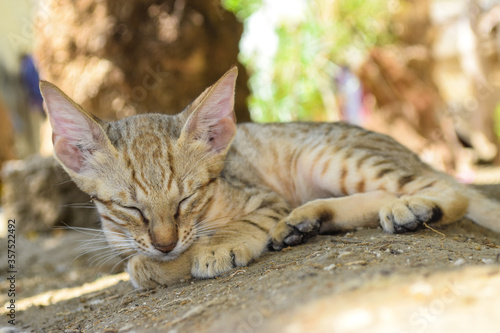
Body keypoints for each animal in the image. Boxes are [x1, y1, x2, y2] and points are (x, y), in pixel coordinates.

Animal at [39, 67, 500, 288]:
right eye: (129, 207)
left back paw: (415, 206)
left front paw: (214, 247)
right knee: (381, 195)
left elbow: (162, 257)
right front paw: (164, 259)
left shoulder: (263, 198)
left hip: (327, 155)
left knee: (450, 188)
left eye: (187, 198)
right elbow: (139, 261)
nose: (165, 242)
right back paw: (307, 220)